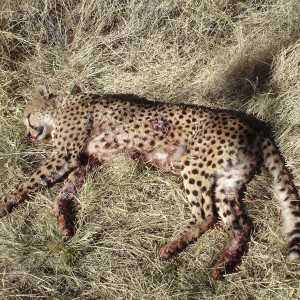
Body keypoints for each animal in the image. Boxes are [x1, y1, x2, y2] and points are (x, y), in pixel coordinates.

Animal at [1, 85, 300, 280]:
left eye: (27, 117)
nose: (29, 135)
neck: (62, 105)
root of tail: (253, 126)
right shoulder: (88, 161)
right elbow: (66, 190)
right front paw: (63, 217)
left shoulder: (66, 154)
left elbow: (31, 182)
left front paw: (5, 202)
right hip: (228, 182)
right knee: (241, 225)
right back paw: (221, 266)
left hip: (195, 167)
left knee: (207, 215)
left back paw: (172, 248)